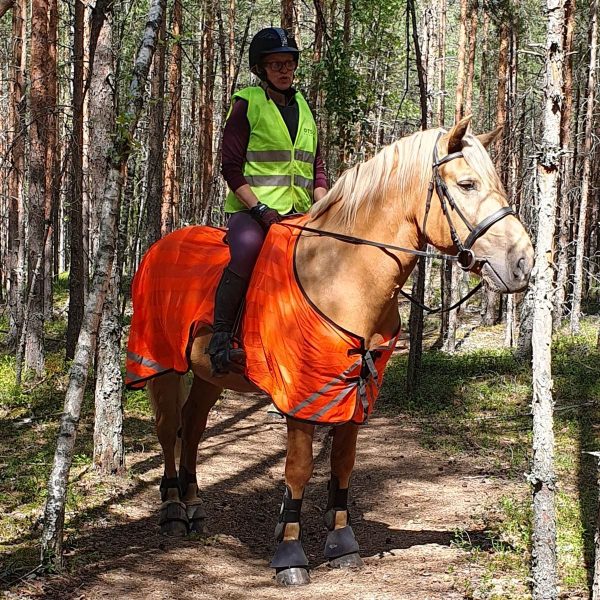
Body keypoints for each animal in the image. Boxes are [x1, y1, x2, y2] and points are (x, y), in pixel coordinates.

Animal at [129, 117, 532, 584]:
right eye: (467, 183)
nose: (524, 262)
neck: (342, 277)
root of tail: (160, 246)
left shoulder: (356, 393)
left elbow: (343, 462)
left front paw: (342, 543)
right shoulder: (303, 394)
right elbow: (299, 468)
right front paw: (290, 553)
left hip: (212, 373)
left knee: (193, 426)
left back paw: (194, 506)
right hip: (160, 365)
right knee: (168, 428)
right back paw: (174, 510)